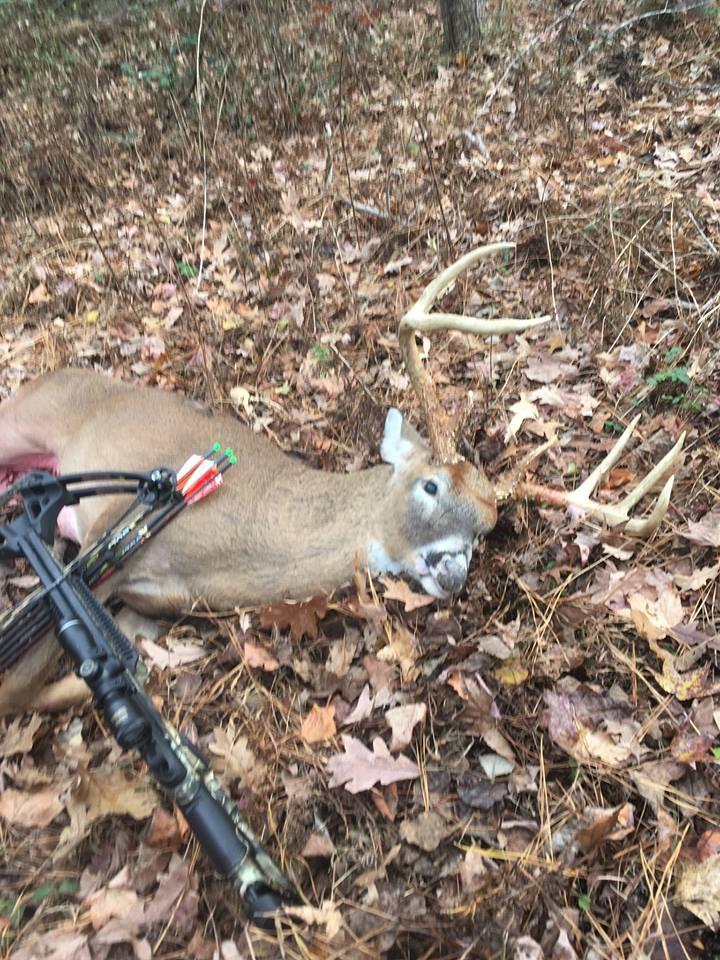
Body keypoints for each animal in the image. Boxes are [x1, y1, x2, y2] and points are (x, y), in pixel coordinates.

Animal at [0, 243, 685, 715]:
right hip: (23, 423)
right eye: (430, 486)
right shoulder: (104, 541)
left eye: (487, 530)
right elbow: (19, 683)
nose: (453, 573)